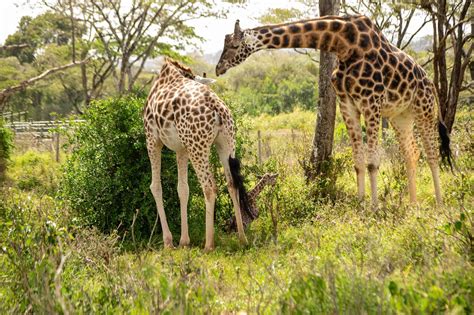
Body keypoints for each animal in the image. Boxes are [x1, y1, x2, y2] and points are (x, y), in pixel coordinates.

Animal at [144, 57, 252, 252]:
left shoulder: (152, 140)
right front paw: (184, 241)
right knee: (232, 183)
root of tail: (218, 109)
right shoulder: (181, 149)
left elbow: (155, 187)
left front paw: (168, 242)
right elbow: (183, 188)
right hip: (226, 144)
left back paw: (209, 244)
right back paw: (242, 238)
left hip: (198, 146)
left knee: (209, 187)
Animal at [215, 14, 452, 207]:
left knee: (432, 153)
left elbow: (372, 162)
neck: (344, 44)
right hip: (400, 117)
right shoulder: (347, 104)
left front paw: (375, 207)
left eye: (234, 46)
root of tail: (431, 83)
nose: (218, 68)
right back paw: (413, 204)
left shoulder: (371, 101)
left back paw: (440, 203)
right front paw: (361, 206)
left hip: (424, 110)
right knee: (412, 152)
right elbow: (358, 162)